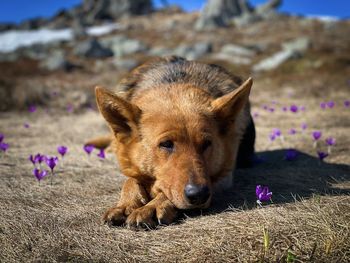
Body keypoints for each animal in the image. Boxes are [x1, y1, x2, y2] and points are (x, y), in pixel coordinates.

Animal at [89, 56, 256, 229]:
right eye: (166, 144)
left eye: (207, 143)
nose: (199, 195)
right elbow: (130, 181)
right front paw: (125, 205)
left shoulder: (222, 176)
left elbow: (165, 191)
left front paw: (153, 206)